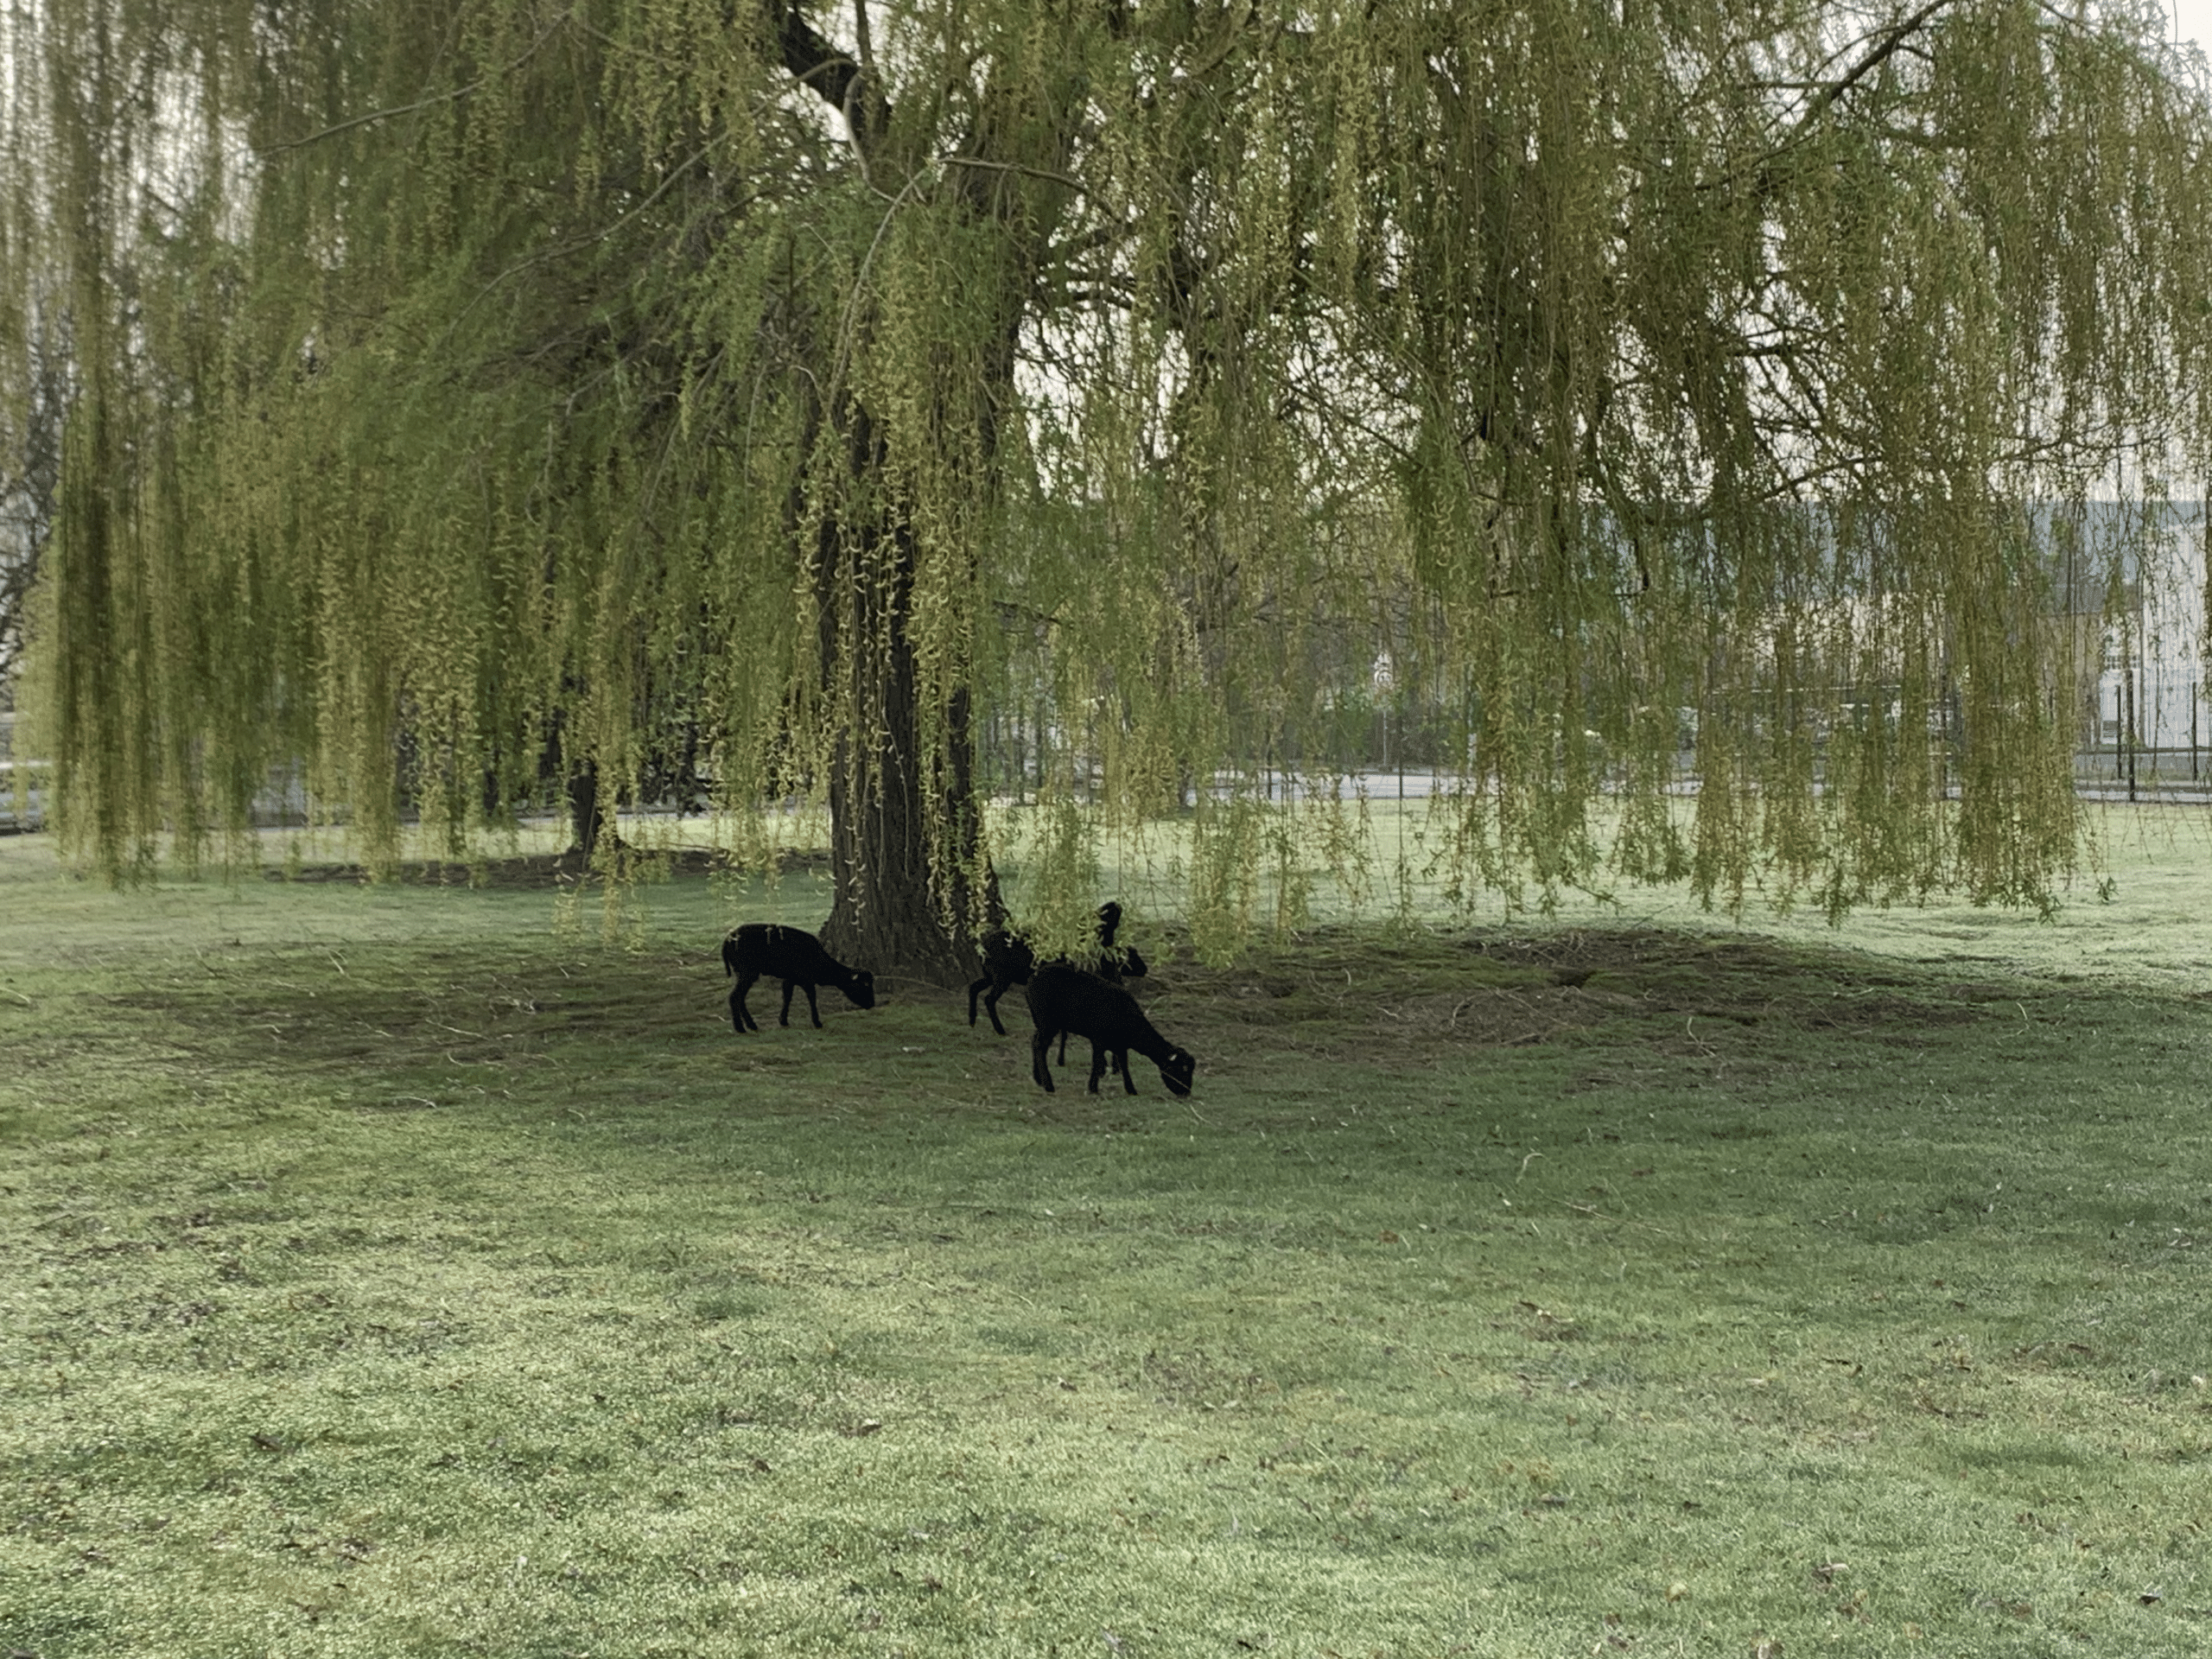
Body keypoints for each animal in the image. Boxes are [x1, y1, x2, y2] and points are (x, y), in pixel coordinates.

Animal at [716, 929, 871, 1035]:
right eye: (862, 986)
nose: (872, 1004)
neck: (822, 967)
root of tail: (726, 943)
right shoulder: (806, 979)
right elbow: (812, 997)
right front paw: (817, 1022)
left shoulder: (790, 978)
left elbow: (787, 997)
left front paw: (783, 1021)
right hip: (747, 971)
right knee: (735, 997)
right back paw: (740, 1028)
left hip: (745, 973)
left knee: (740, 997)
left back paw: (751, 1025)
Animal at [1021, 969, 1194, 1096]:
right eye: (1181, 1069)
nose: (1186, 1093)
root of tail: (1032, 979)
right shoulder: (1099, 1039)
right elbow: (1097, 1062)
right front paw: (1093, 1088)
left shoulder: (1120, 1044)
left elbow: (1123, 1064)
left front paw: (1131, 1090)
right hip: (1047, 1021)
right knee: (1039, 1046)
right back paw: (1048, 1085)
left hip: (1041, 1022)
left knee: (1035, 1044)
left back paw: (1038, 1079)